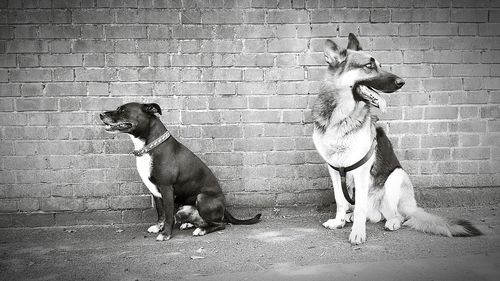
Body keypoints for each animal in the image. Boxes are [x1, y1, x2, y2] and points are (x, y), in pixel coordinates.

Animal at [100, 101, 260, 240]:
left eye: (123, 110)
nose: (101, 114)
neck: (150, 146)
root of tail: (224, 208)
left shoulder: (166, 188)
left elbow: (168, 215)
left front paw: (166, 234)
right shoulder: (155, 191)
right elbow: (161, 212)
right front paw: (158, 227)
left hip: (202, 197)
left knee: (221, 224)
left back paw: (201, 230)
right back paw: (189, 223)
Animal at [312, 33, 480, 243]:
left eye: (379, 65)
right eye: (369, 66)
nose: (402, 82)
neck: (341, 118)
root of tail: (412, 206)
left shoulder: (361, 171)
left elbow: (359, 207)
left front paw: (358, 232)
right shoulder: (335, 170)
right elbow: (340, 200)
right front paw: (339, 221)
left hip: (396, 177)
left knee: (396, 216)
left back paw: (391, 222)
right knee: (371, 214)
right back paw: (350, 218)